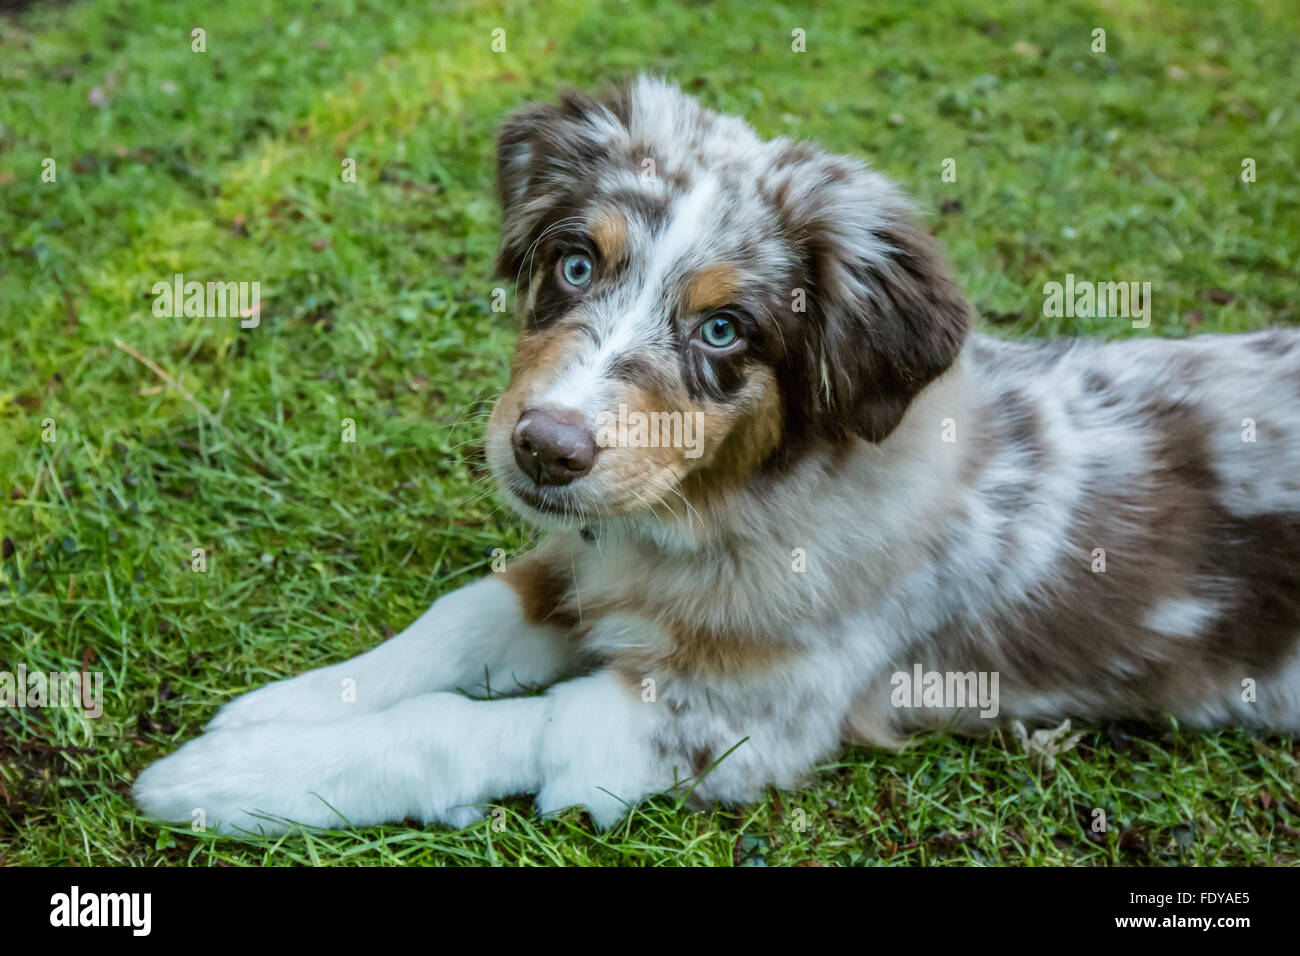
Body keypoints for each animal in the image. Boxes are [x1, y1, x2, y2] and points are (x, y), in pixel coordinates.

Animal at [137, 78, 1300, 832]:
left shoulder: (729, 721)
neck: (716, 509)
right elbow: (458, 619)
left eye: (724, 330)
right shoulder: (588, 551)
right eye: (574, 264)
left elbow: (463, 727)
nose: (545, 451)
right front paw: (284, 706)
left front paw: (238, 777)